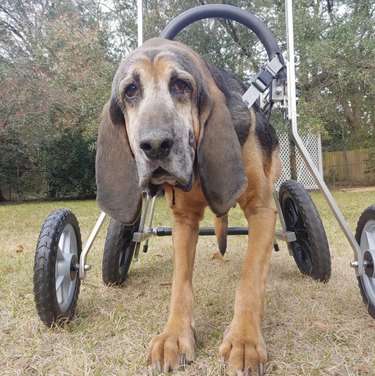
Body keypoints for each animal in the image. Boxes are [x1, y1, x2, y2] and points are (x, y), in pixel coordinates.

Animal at [97, 36, 282, 374]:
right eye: (130, 91)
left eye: (181, 85)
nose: (155, 145)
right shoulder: (184, 220)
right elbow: (180, 284)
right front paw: (174, 336)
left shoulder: (261, 210)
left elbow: (249, 281)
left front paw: (245, 340)